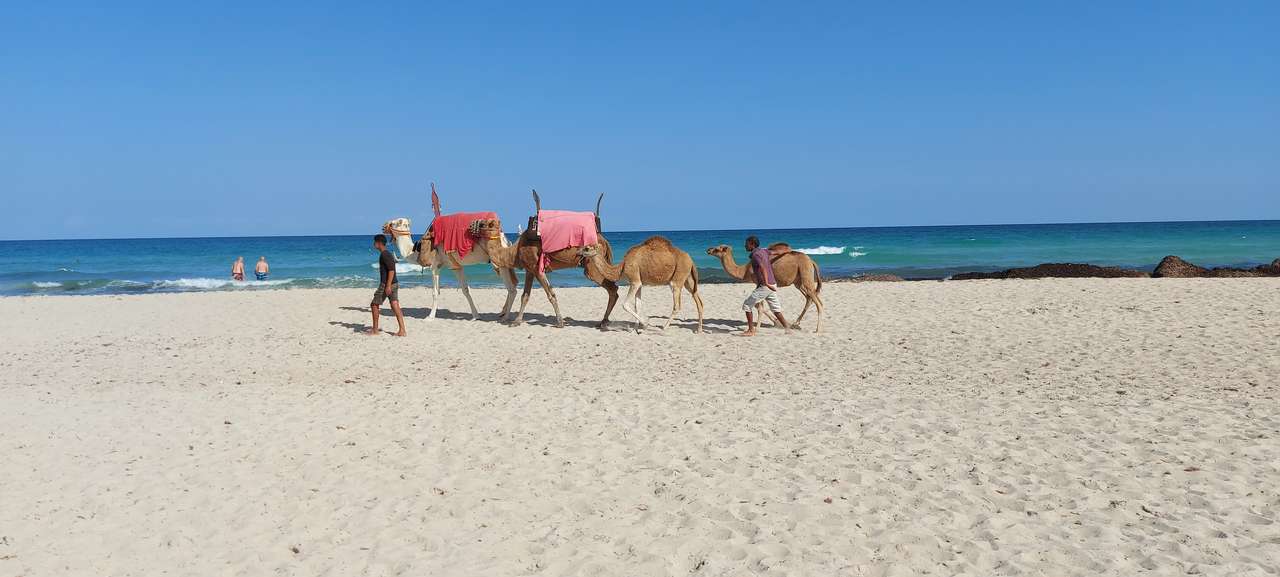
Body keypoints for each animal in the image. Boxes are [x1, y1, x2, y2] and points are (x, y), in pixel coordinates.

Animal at [381, 188, 517, 321]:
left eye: (394, 223)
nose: (383, 226)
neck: (416, 250)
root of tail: (503, 237)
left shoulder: (434, 265)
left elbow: (435, 292)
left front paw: (430, 317)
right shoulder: (455, 266)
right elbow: (465, 290)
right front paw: (475, 316)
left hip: (499, 261)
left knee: (512, 289)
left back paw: (505, 317)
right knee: (511, 286)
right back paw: (502, 313)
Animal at [476, 191, 624, 330]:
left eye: (490, 223)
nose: (478, 223)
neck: (515, 250)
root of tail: (604, 240)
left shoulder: (537, 269)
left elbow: (551, 294)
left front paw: (560, 322)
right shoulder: (530, 270)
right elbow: (525, 295)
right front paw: (516, 321)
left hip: (592, 265)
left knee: (613, 289)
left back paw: (603, 321)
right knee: (613, 289)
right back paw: (603, 321)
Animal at [581, 236, 711, 335]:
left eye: (586, 248)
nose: (579, 251)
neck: (621, 268)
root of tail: (691, 259)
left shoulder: (634, 280)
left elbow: (625, 305)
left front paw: (646, 323)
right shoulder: (640, 283)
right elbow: (637, 306)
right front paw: (635, 329)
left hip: (677, 278)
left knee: (677, 306)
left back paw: (663, 328)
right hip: (688, 280)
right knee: (699, 301)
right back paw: (699, 330)